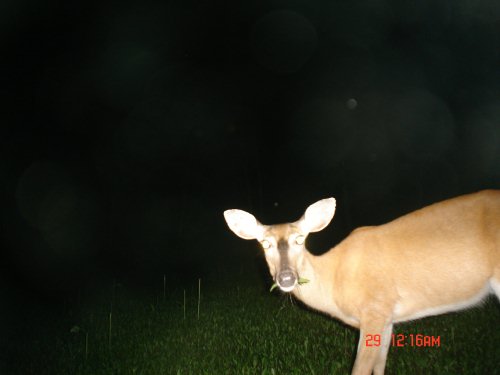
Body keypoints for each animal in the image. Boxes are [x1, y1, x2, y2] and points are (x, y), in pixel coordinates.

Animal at [224, 191, 500, 375]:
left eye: (300, 239)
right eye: (265, 244)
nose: (286, 278)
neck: (335, 281)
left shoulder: (374, 308)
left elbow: (360, 370)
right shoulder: (387, 317)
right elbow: (379, 367)